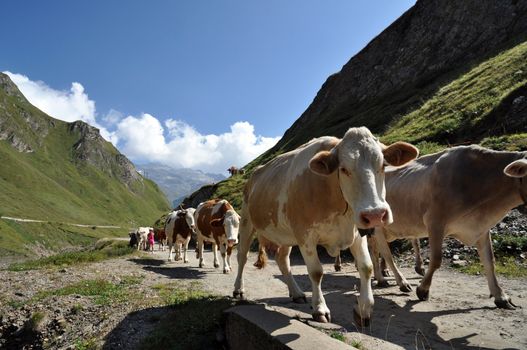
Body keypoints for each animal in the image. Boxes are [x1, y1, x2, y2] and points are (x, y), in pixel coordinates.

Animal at [233, 126, 418, 326]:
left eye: (383, 165)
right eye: (343, 169)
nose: (375, 214)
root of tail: (255, 173)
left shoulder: (356, 233)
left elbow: (366, 267)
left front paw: (364, 310)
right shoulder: (305, 236)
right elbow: (316, 272)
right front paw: (320, 308)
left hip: (286, 234)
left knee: (282, 260)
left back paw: (296, 293)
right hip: (246, 221)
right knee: (242, 256)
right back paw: (238, 290)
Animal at [372, 145, 527, 308]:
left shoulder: (480, 227)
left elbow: (490, 261)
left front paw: (501, 296)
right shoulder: (435, 222)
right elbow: (436, 260)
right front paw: (423, 289)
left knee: (376, 250)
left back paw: (381, 277)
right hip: (379, 227)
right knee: (385, 254)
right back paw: (398, 282)